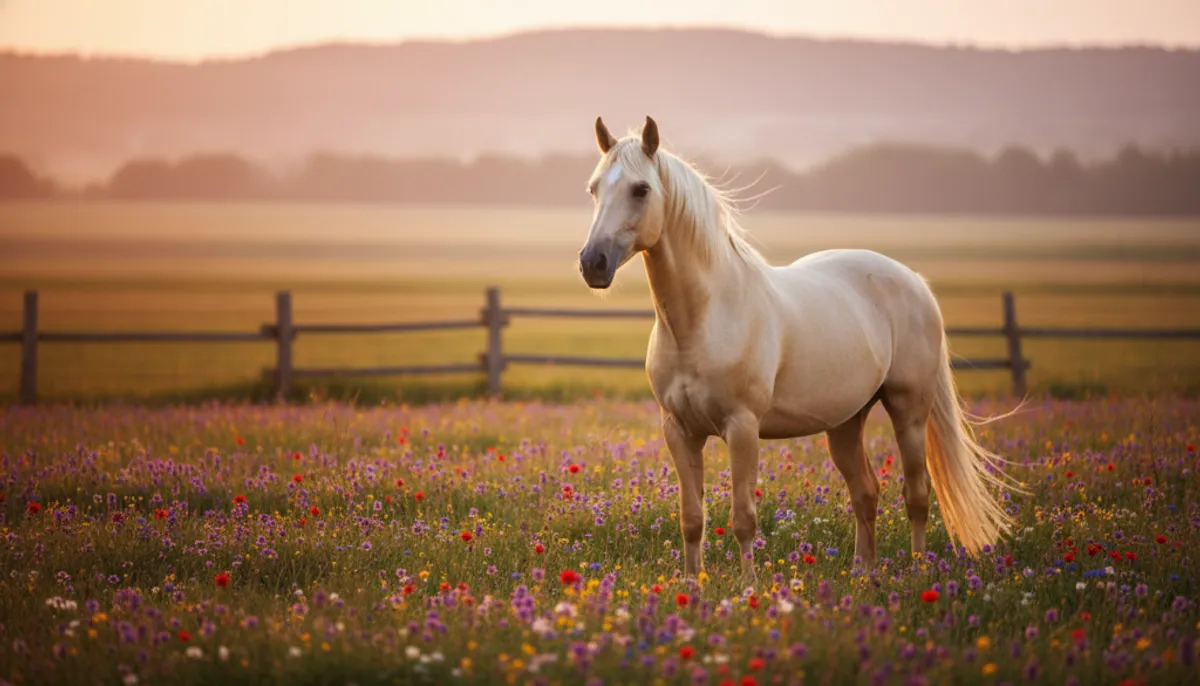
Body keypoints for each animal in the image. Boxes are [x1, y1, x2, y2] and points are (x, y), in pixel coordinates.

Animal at [577, 115, 1024, 582]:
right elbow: (692, 518)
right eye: (593, 188)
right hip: (845, 421)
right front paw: (691, 583)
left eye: (641, 189)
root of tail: (914, 281)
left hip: (909, 411)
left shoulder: (742, 428)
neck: (702, 320)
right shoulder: (678, 431)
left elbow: (743, 518)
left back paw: (917, 570)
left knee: (916, 494)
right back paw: (862, 573)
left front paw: (748, 586)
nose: (593, 263)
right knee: (866, 492)